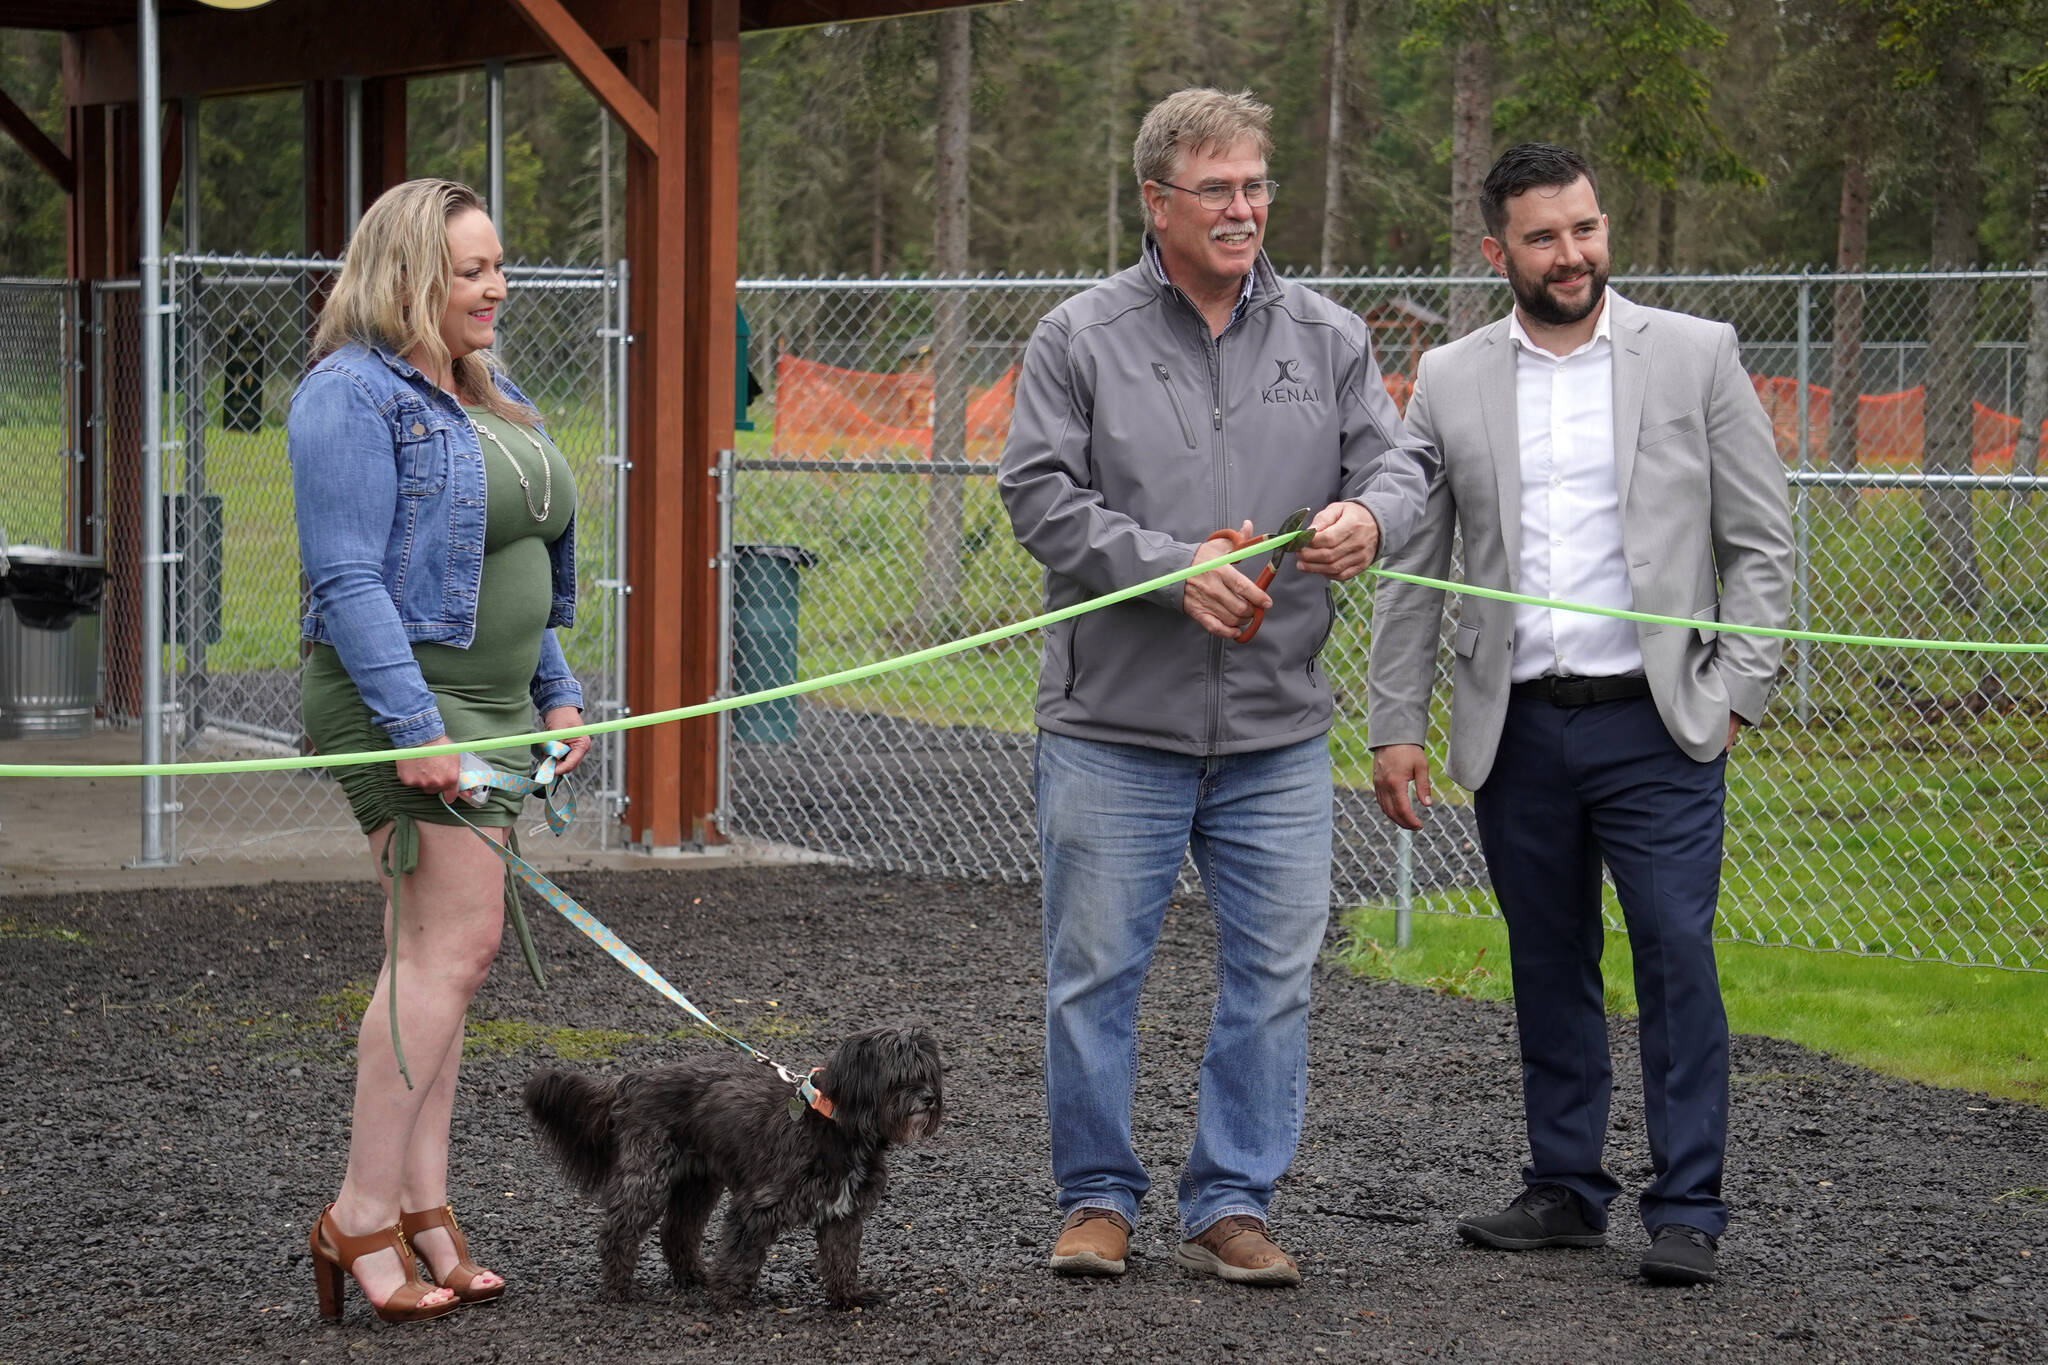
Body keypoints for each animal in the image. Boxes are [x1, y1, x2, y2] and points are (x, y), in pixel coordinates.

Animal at [528, 1023, 942, 1309]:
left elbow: (841, 1258)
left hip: (697, 1183)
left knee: (677, 1230)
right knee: (619, 1231)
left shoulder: (843, 1213)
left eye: (927, 1073)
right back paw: (618, 1289)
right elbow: (740, 1256)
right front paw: (728, 1300)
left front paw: (848, 1297)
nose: (928, 1098)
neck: (835, 1123)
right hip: (648, 1178)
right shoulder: (757, 1206)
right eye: (898, 1077)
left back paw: (693, 1276)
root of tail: (635, 1079)